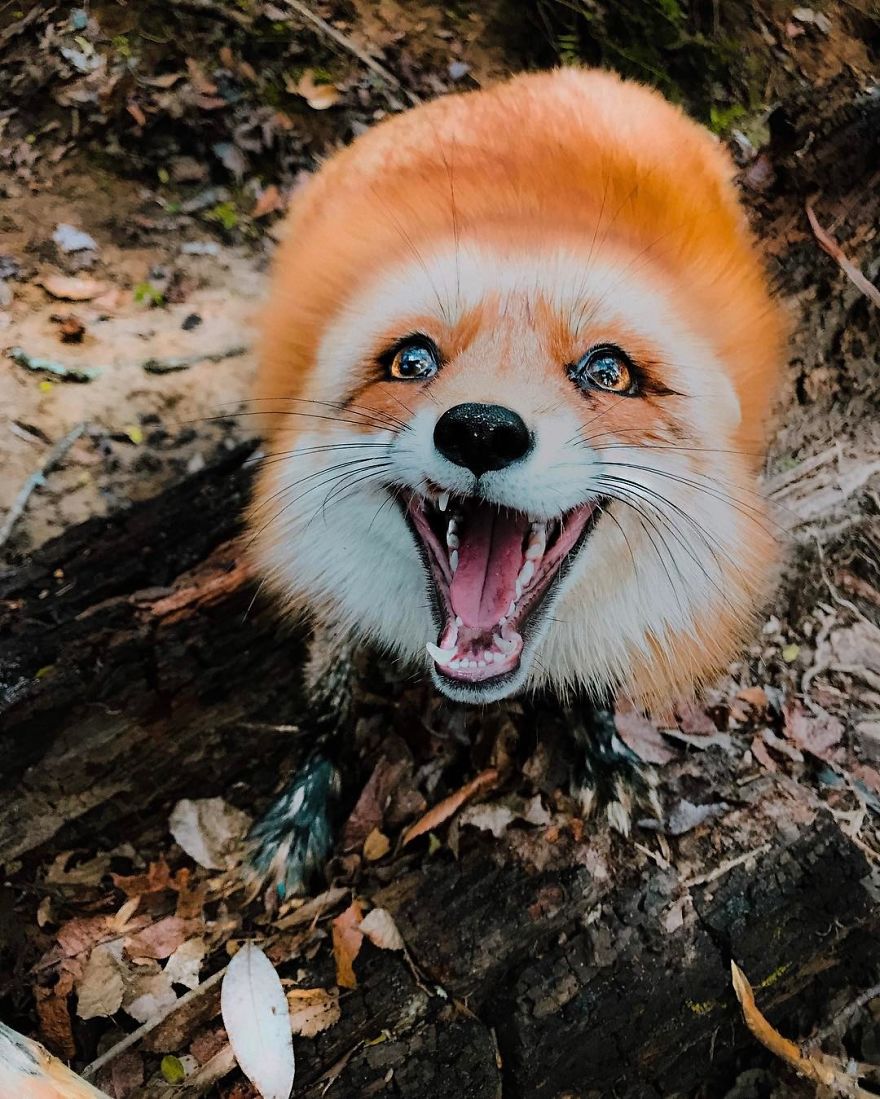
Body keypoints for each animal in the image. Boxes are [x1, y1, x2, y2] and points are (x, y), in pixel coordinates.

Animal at [244, 67, 784, 896]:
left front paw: (603, 747)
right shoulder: (330, 577)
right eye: (411, 360)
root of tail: (536, 80)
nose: (481, 430)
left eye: (608, 371)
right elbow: (327, 700)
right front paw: (304, 805)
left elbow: (596, 673)